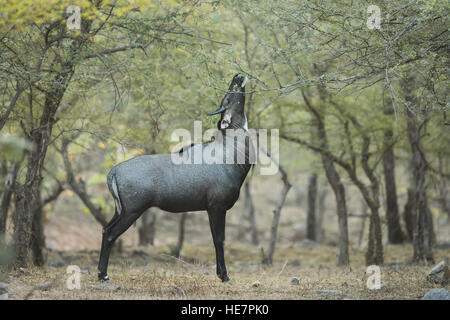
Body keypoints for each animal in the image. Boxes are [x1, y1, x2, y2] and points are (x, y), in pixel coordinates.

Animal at [98, 74, 253, 282]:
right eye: (228, 97)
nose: (238, 75)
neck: (230, 151)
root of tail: (113, 172)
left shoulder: (211, 208)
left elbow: (215, 239)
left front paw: (220, 274)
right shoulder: (217, 206)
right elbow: (219, 239)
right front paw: (225, 276)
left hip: (120, 210)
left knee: (105, 229)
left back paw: (101, 273)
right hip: (132, 211)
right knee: (111, 234)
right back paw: (104, 275)